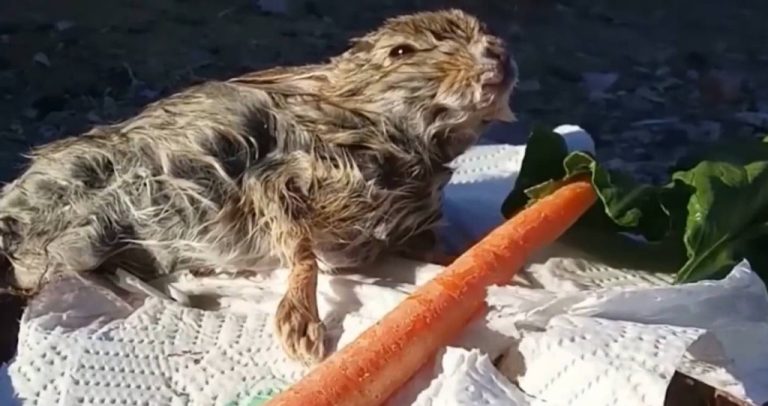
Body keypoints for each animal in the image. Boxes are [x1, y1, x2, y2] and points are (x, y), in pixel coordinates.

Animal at [1, 9, 516, 364]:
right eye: (402, 52)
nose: (499, 56)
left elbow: (434, 248)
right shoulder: (277, 178)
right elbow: (302, 253)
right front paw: (302, 332)